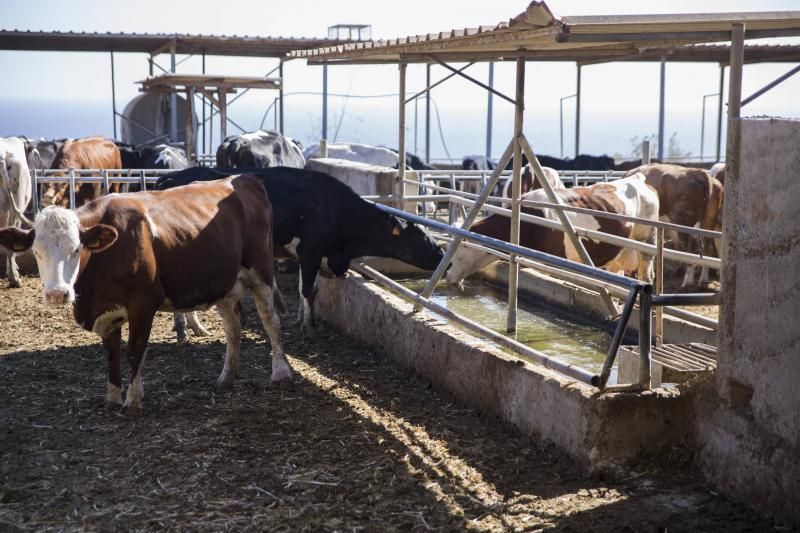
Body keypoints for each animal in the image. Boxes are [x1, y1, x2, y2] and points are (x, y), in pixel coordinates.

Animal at [0, 176, 288, 416]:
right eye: (37, 252)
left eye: (76, 249)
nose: (57, 294)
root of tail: (243, 179)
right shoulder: (106, 312)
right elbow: (112, 355)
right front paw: (112, 399)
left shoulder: (143, 303)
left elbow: (134, 351)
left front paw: (133, 401)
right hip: (224, 284)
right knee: (233, 326)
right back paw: (227, 377)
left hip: (261, 271)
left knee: (270, 320)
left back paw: (281, 373)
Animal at [156, 167, 444, 332]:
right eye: (421, 237)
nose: (444, 256)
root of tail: (169, 176)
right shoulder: (310, 251)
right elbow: (307, 290)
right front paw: (308, 324)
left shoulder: (309, 256)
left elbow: (307, 287)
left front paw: (300, 318)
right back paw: (187, 326)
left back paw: (194, 326)